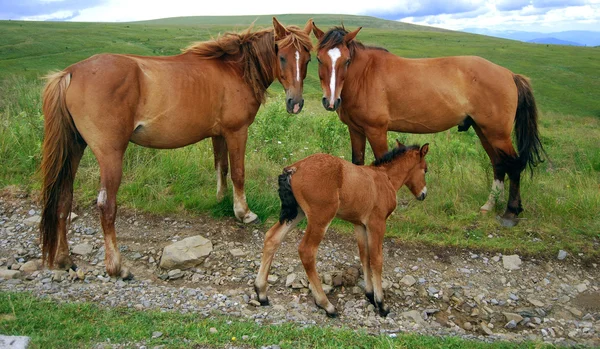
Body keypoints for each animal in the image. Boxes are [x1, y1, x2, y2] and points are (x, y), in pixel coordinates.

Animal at [255, 142, 428, 318]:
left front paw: (370, 295)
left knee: (272, 238)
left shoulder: (360, 224)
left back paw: (261, 293)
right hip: (321, 217)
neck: (385, 177)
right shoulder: (377, 223)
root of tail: (295, 167)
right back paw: (326, 305)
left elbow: (364, 256)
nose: (423, 194)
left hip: (297, 212)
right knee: (306, 251)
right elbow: (376, 260)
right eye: (425, 169)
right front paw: (381, 304)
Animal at [312, 23, 548, 226]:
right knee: (499, 163)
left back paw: (510, 212)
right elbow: (358, 162)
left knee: (513, 165)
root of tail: (509, 74)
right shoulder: (356, 130)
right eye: (319, 59)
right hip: (484, 131)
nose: (331, 101)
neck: (365, 76)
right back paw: (489, 205)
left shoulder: (377, 130)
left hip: (497, 134)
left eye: (346, 61)